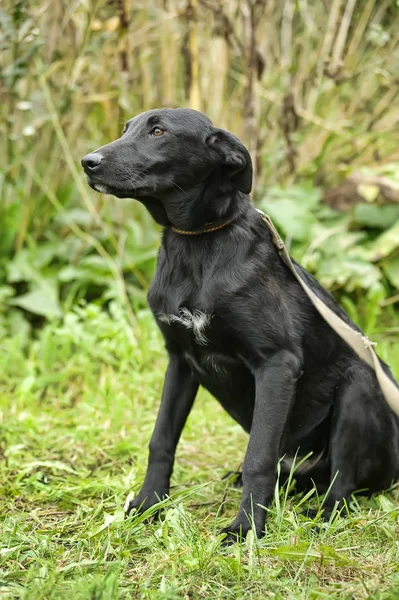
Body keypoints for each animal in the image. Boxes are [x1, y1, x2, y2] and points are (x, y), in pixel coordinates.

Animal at [82, 109, 399, 544]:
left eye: (158, 131)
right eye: (126, 129)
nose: (87, 162)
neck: (196, 244)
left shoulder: (276, 364)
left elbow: (258, 457)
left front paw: (247, 527)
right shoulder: (179, 360)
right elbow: (160, 440)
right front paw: (148, 505)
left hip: (360, 387)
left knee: (343, 483)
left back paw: (324, 513)